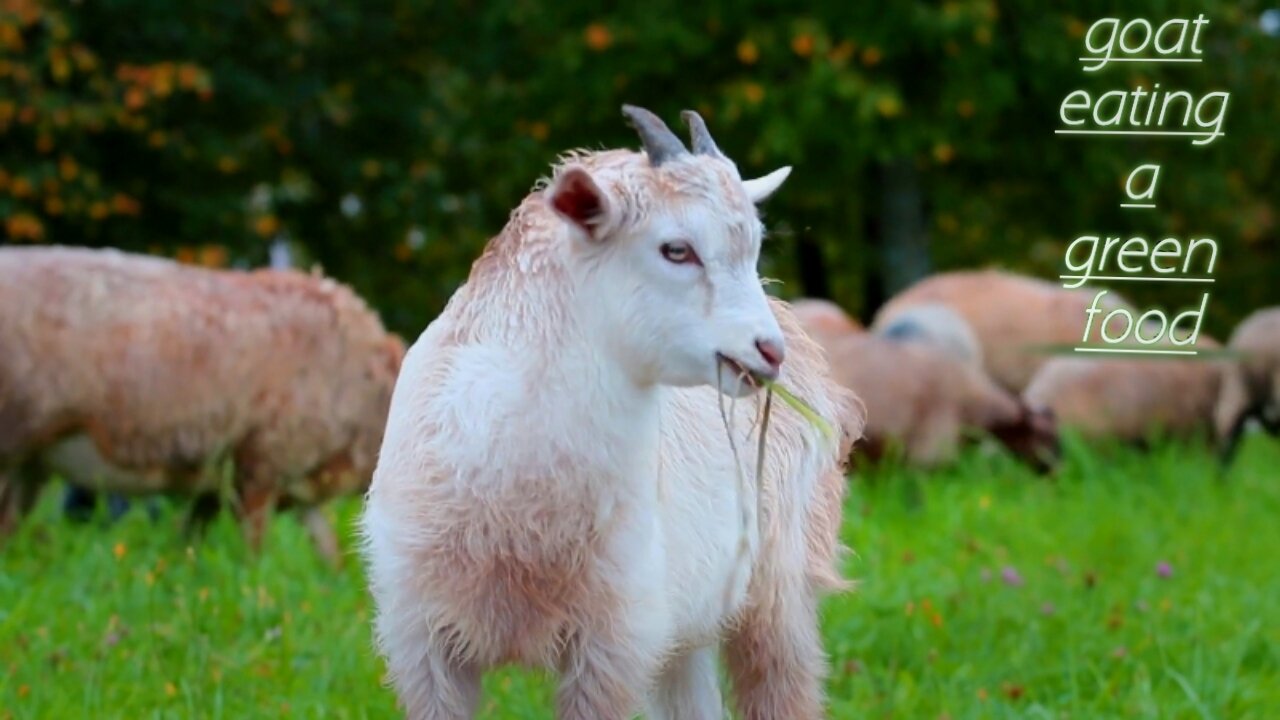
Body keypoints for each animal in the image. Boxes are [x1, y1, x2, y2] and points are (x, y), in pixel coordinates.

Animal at [0, 244, 404, 561]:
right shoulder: (262, 460)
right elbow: (254, 546)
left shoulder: (277, 474)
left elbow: (327, 551)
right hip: (14, 436)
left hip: (31, 461)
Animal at [355, 102, 865, 717]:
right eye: (676, 248)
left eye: (754, 245)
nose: (768, 352)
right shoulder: (423, 646)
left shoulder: (611, 644)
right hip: (685, 622)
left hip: (776, 590)